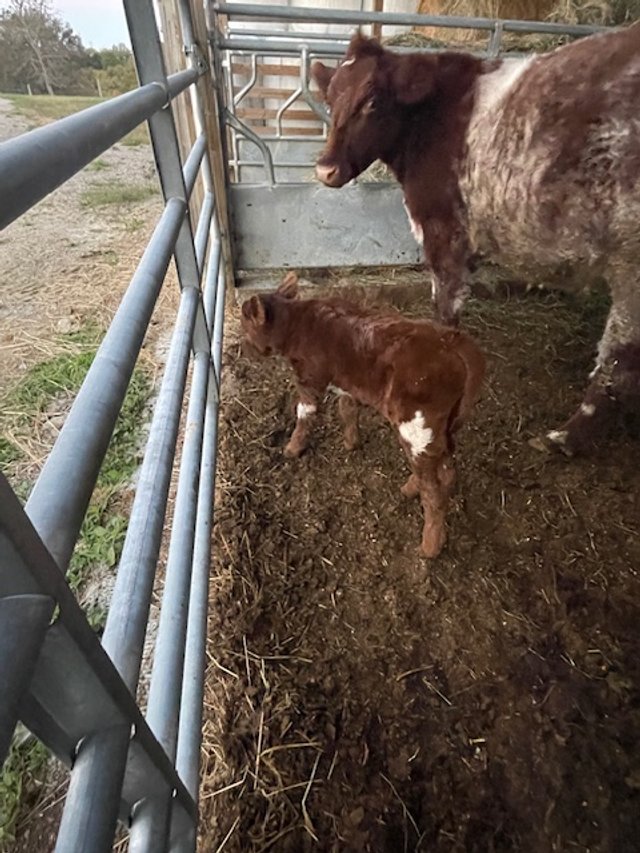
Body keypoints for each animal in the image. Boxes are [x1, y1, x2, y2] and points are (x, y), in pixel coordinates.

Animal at [239, 273, 485, 557]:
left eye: (245, 323)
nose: (243, 349)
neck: (299, 323)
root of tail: (451, 339)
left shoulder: (309, 381)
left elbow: (304, 417)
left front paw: (292, 449)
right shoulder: (347, 382)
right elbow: (347, 409)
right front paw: (351, 442)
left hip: (417, 426)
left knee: (433, 488)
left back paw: (429, 546)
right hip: (443, 427)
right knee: (444, 469)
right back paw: (410, 489)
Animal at [311, 25, 640, 456]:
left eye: (372, 101)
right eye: (330, 98)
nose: (325, 169)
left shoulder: (443, 227)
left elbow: (444, 307)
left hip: (630, 261)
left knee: (617, 360)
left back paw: (562, 438)